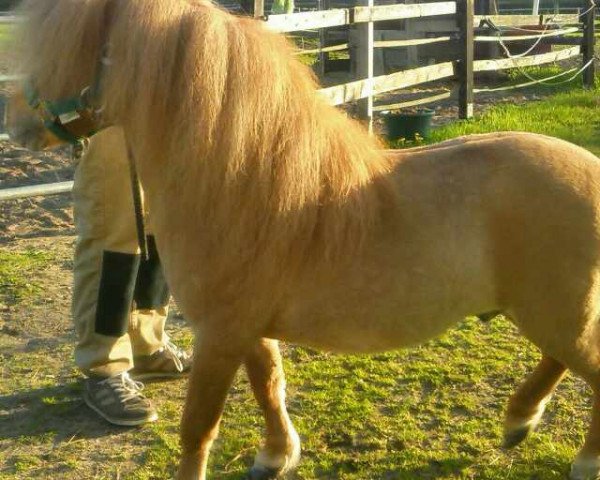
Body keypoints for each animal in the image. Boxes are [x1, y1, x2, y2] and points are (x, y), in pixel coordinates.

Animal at [10, 0, 600, 478]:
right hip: (550, 316)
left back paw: (580, 457)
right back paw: (518, 421)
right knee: (559, 361)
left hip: (553, 314)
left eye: (68, 47)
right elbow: (269, 383)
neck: (239, 184)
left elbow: (198, 427)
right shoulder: (247, 328)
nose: (16, 126)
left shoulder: (219, 333)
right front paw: (276, 455)